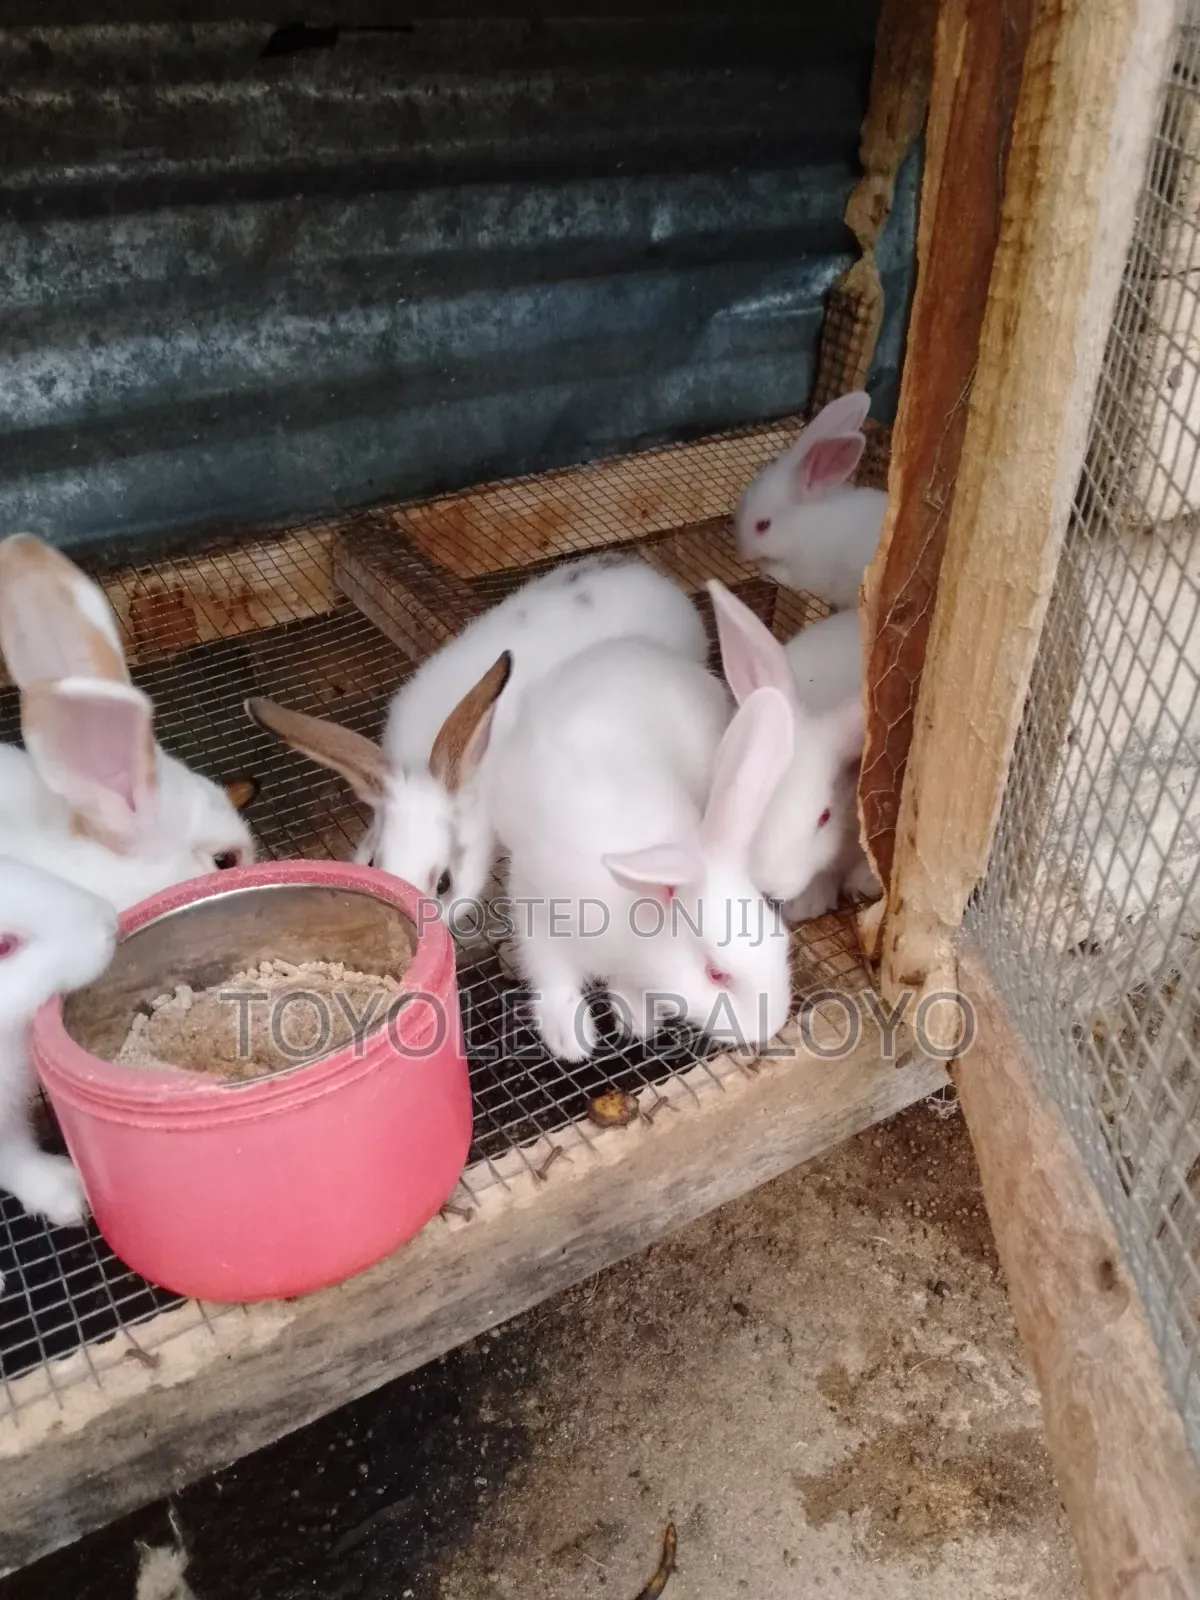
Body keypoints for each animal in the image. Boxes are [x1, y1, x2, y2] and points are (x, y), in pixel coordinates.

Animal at [487, 636, 795, 1060]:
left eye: (783, 940)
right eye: (716, 974)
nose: (771, 1027)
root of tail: (639, 648)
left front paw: (638, 1016)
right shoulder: (533, 900)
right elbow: (551, 970)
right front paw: (570, 1039)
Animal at [734, 391, 887, 609]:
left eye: (763, 525)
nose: (743, 553)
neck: (804, 529)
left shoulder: (807, 572)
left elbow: (789, 578)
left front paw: (767, 571)